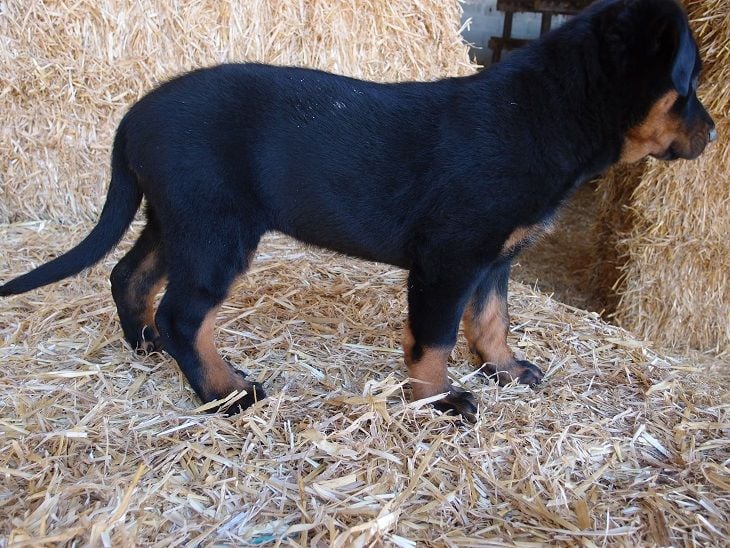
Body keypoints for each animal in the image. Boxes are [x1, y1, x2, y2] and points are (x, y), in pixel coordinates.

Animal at [1, 0, 716, 421]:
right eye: (687, 84)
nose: (711, 133)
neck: (545, 114)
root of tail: (134, 116)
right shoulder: (449, 261)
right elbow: (434, 339)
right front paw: (439, 400)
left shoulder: (493, 261)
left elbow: (491, 322)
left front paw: (507, 369)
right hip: (215, 228)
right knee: (184, 314)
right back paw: (225, 392)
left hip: (178, 218)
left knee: (132, 277)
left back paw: (146, 345)